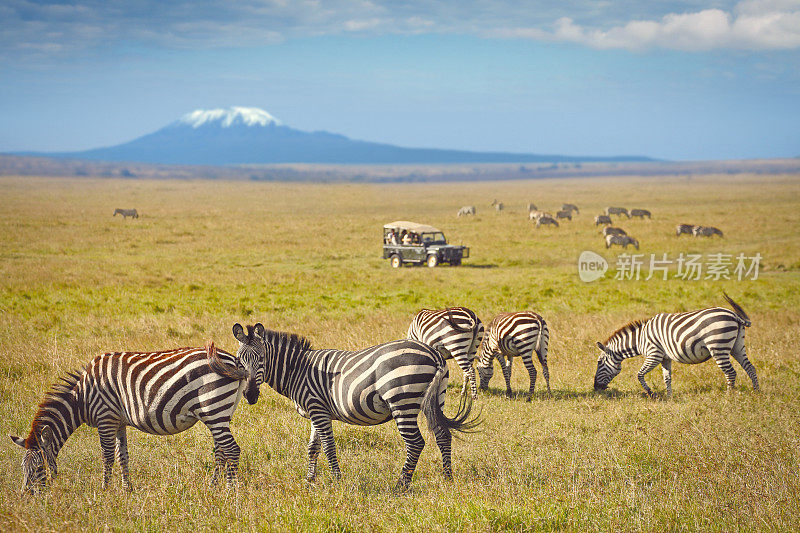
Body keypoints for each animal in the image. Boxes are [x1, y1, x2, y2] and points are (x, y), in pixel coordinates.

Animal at [8, 342, 247, 492]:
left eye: (38, 469)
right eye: (22, 470)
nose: (26, 496)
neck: (82, 397)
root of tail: (234, 361)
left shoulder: (105, 418)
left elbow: (107, 456)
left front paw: (104, 490)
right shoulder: (118, 421)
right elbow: (122, 455)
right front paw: (126, 489)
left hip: (213, 408)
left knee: (231, 449)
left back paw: (229, 491)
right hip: (219, 413)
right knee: (220, 451)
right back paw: (214, 486)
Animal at [234, 322, 478, 488]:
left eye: (262, 359)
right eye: (239, 361)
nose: (250, 394)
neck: (299, 370)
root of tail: (434, 354)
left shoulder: (318, 410)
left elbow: (328, 447)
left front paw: (337, 480)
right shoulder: (316, 411)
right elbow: (312, 448)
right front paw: (310, 480)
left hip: (402, 401)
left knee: (416, 443)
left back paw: (401, 484)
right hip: (436, 400)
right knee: (442, 435)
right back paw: (447, 477)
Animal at [592, 294, 764, 396]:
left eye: (599, 363)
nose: (596, 387)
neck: (639, 339)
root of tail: (734, 315)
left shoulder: (654, 355)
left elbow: (639, 374)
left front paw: (651, 392)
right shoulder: (665, 358)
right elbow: (667, 377)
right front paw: (669, 396)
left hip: (718, 346)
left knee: (731, 372)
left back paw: (729, 396)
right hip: (737, 346)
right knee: (750, 367)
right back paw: (756, 392)